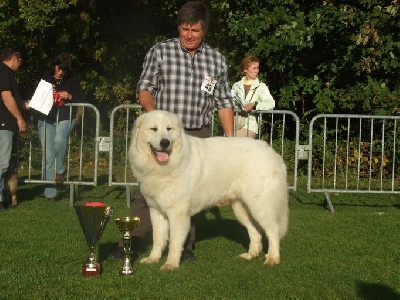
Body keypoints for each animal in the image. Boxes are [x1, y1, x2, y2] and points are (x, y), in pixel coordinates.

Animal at [130, 110, 290, 270]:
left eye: (169, 129)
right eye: (153, 129)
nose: (165, 142)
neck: (164, 165)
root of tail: (271, 151)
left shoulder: (177, 212)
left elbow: (175, 242)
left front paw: (171, 264)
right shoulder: (156, 210)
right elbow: (158, 238)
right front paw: (153, 258)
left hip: (260, 205)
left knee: (273, 231)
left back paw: (273, 258)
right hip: (241, 207)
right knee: (255, 231)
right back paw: (251, 254)